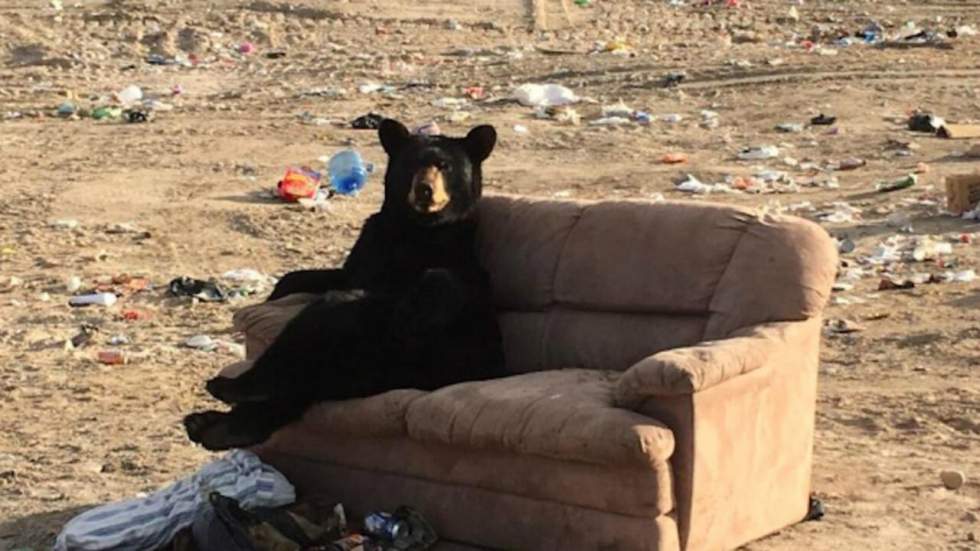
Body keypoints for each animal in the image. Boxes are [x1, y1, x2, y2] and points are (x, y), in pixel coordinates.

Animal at [183, 118, 506, 450]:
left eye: (445, 166)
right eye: (412, 163)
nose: (424, 189)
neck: (414, 228)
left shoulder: (447, 253)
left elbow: (436, 283)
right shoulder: (369, 246)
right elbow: (319, 276)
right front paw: (278, 291)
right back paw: (214, 421)